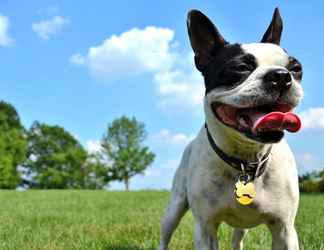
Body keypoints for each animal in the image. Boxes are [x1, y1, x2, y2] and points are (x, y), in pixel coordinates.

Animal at [159, 7, 304, 250]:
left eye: (296, 68)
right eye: (241, 68)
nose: (281, 76)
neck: (246, 161)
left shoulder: (284, 229)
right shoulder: (205, 227)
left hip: (242, 226)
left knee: (237, 238)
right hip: (175, 206)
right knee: (165, 233)